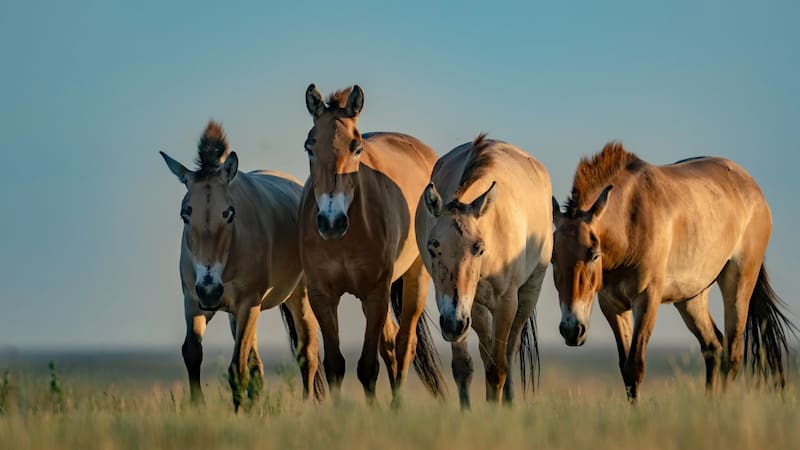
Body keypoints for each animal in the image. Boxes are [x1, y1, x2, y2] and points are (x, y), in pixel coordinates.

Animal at [160, 121, 325, 411]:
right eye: (185, 213)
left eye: (229, 213)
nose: (210, 290)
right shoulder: (193, 302)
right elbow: (192, 352)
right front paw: (198, 407)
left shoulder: (248, 303)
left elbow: (237, 369)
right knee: (258, 366)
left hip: (299, 299)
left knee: (307, 354)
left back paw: (305, 406)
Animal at [300, 84, 445, 405]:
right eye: (309, 147)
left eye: (357, 148)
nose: (331, 222)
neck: (343, 241)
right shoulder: (322, 296)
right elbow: (335, 365)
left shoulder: (376, 293)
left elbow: (368, 367)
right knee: (390, 343)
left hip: (415, 279)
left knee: (404, 344)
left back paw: (396, 406)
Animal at [417, 134, 552, 408]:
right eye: (433, 247)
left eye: (478, 248)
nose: (453, 325)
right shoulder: (463, 306)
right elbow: (464, 367)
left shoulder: (505, 303)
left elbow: (498, 367)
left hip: (528, 292)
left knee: (509, 352)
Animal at [551, 142, 797, 400]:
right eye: (553, 259)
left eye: (594, 255)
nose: (571, 330)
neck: (630, 220)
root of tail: (753, 188)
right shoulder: (611, 304)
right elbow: (626, 371)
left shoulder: (647, 298)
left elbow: (635, 366)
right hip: (692, 297)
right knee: (713, 347)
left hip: (739, 284)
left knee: (732, 355)